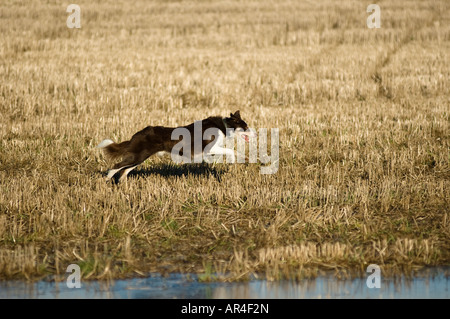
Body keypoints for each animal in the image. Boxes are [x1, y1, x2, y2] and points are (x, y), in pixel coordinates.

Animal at [96, 110, 255, 181]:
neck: (224, 126)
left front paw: (245, 159)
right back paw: (107, 179)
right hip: (138, 156)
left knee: (124, 171)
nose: (255, 134)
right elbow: (230, 151)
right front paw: (233, 161)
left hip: (139, 157)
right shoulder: (210, 148)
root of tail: (138, 133)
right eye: (246, 127)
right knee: (117, 166)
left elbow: (235, 151)